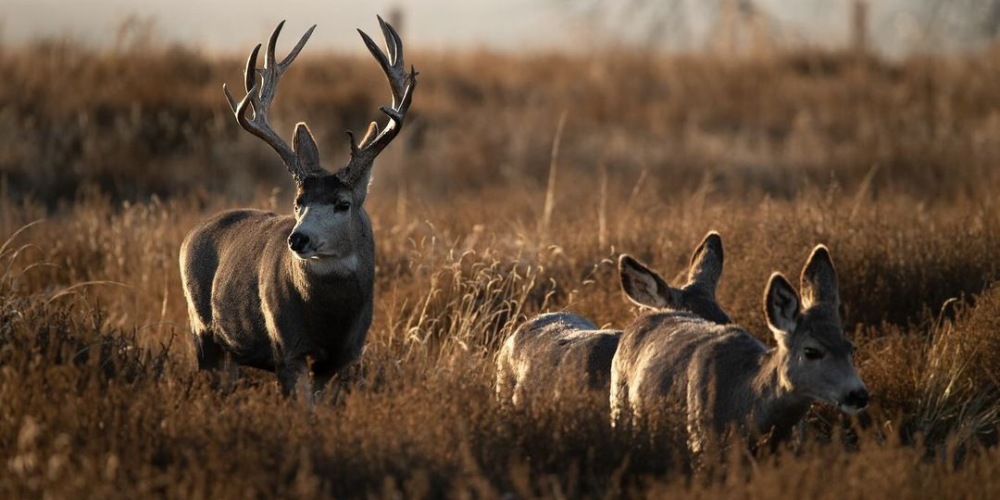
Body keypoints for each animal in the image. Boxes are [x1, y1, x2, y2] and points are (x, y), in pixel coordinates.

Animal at [178, 18, 416, 398]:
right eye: (297, 201)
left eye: (342, 204)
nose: (298, 239)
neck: (329, 321)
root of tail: (191, 234)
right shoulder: (287, 346)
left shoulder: (344, 356)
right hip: (201, 327)